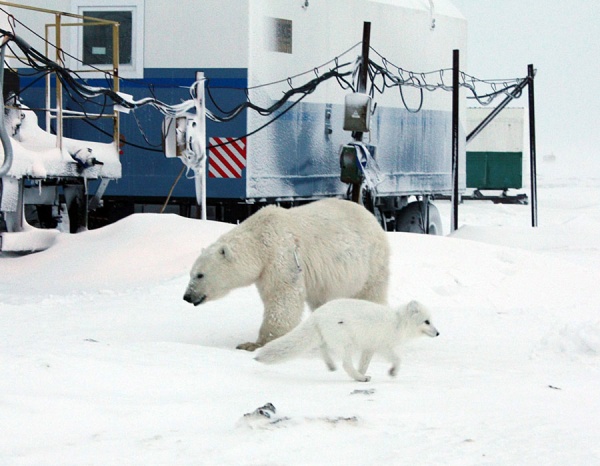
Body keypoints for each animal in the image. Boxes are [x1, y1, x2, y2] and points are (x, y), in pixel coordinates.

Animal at [182, 198, 390, 352]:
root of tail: (371, 216)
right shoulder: (265, 270)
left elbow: (282, 297)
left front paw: (254, 344)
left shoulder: (282, 256)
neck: (260, 239)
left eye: (200, 275)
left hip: (370, 262)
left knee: (370, 294)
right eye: (191, 273)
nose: (187, 296)